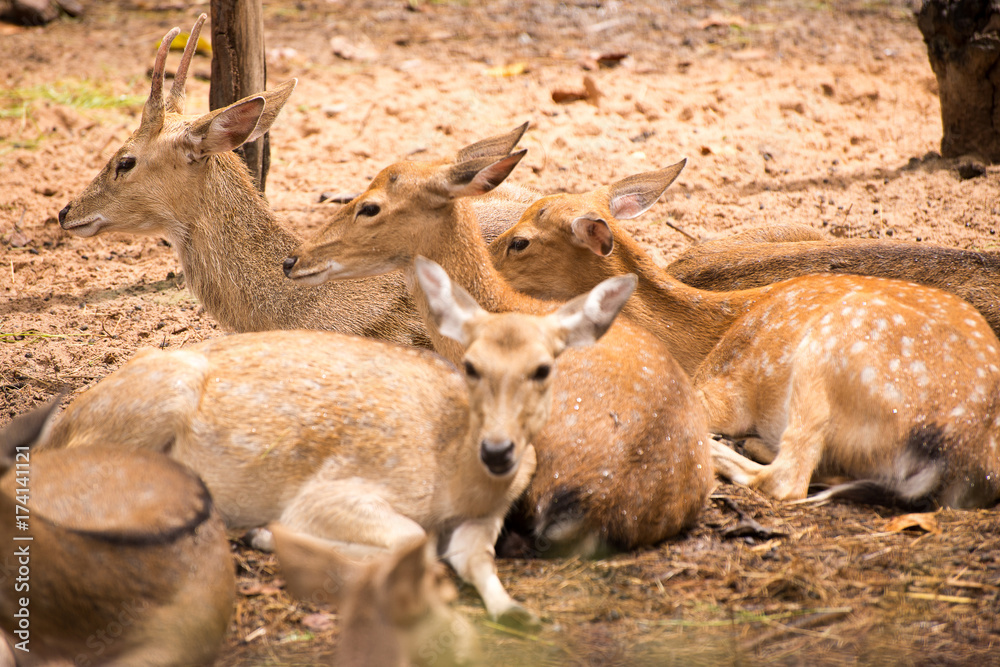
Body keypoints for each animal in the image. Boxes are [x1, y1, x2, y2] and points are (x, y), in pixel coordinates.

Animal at [28, 257, 639, 628]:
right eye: (470, 366)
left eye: (543, 368)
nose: (498, 451)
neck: (455, 481)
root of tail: (64, 422)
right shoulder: (335, 490)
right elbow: (410, 538)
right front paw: (276, 537)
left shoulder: (487, 516)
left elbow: (476, 558)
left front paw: (518, 614)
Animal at [487, 164, 1000, 508]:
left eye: (520, 241)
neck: (697, 340)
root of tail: (956, 447)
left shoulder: (719, 386)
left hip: (829, 353)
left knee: (786, 479)